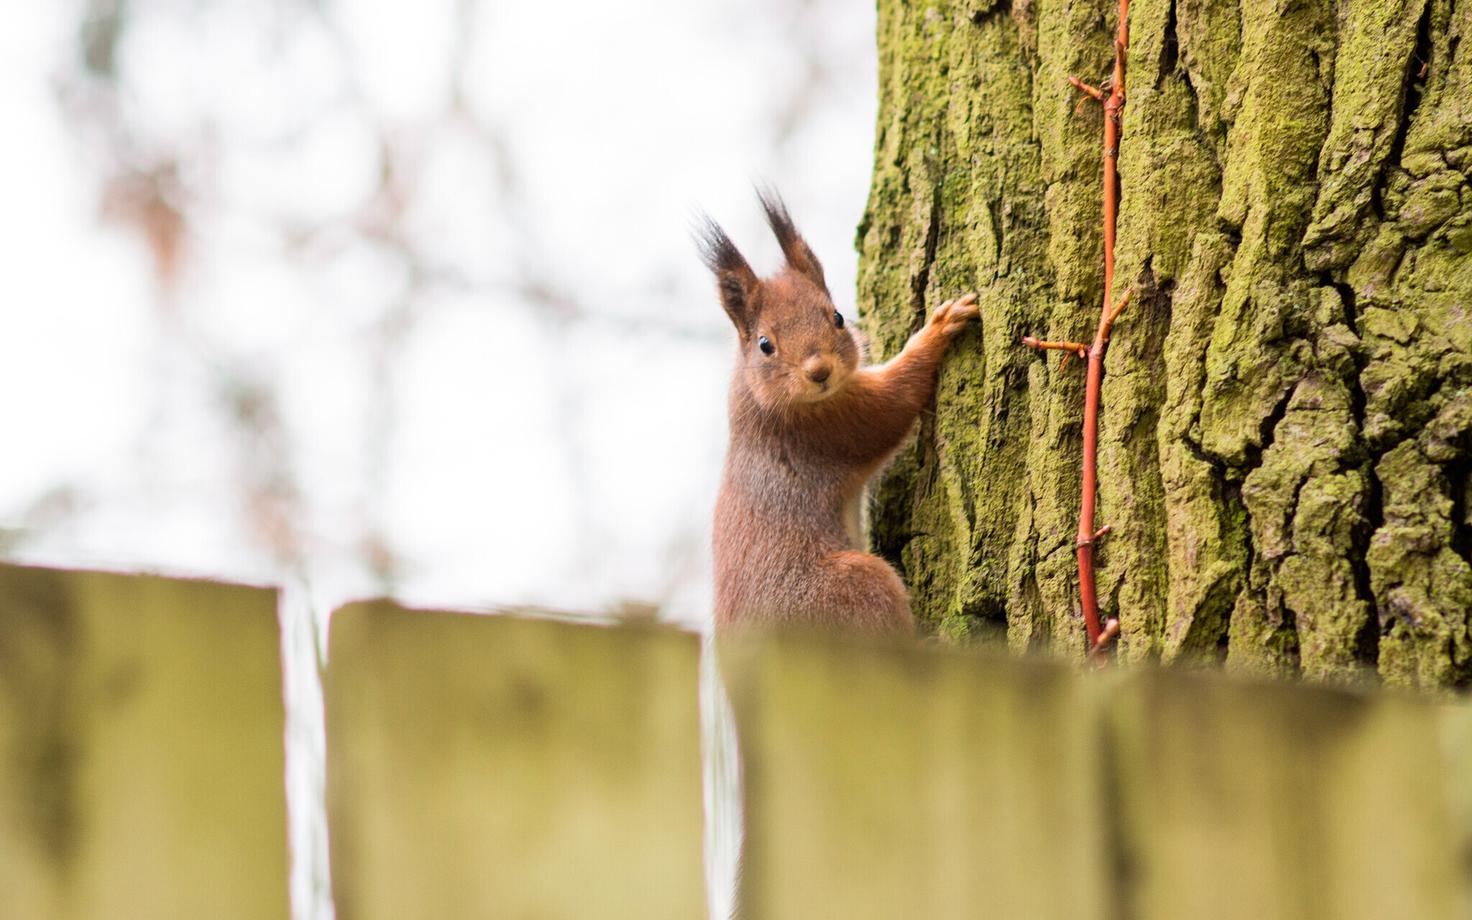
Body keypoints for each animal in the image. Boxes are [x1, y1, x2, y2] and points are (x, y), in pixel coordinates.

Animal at [699, 190, 978, 636]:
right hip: (854, 587)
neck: (758, 398)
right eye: (764, 344)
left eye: (838, 317)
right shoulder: (829, 426)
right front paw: (938, 329)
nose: (819, 372)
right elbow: (892, 406)